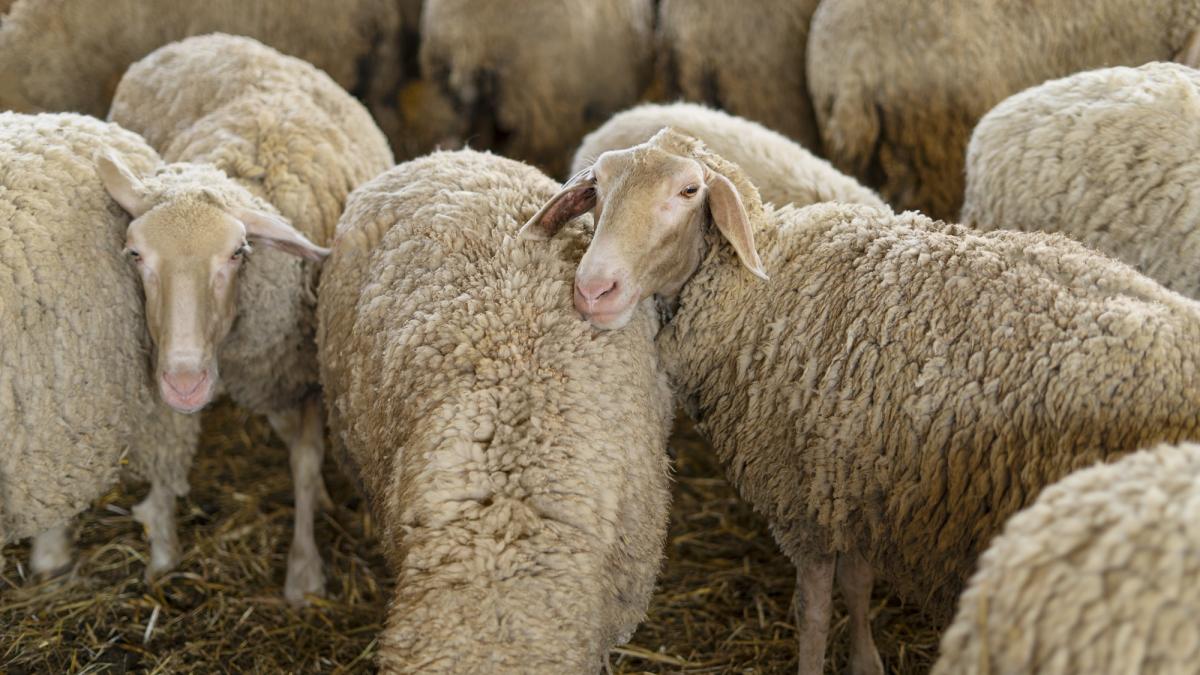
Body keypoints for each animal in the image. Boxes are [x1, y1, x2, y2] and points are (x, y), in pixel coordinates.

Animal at [105, 33, 394, 604]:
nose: (187, 384)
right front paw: (162, 542)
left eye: (238, 253)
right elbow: (171, 444)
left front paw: (303, 572)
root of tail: (203, 37)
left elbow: (305, 461)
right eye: (135, 254)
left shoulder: (304, 373)